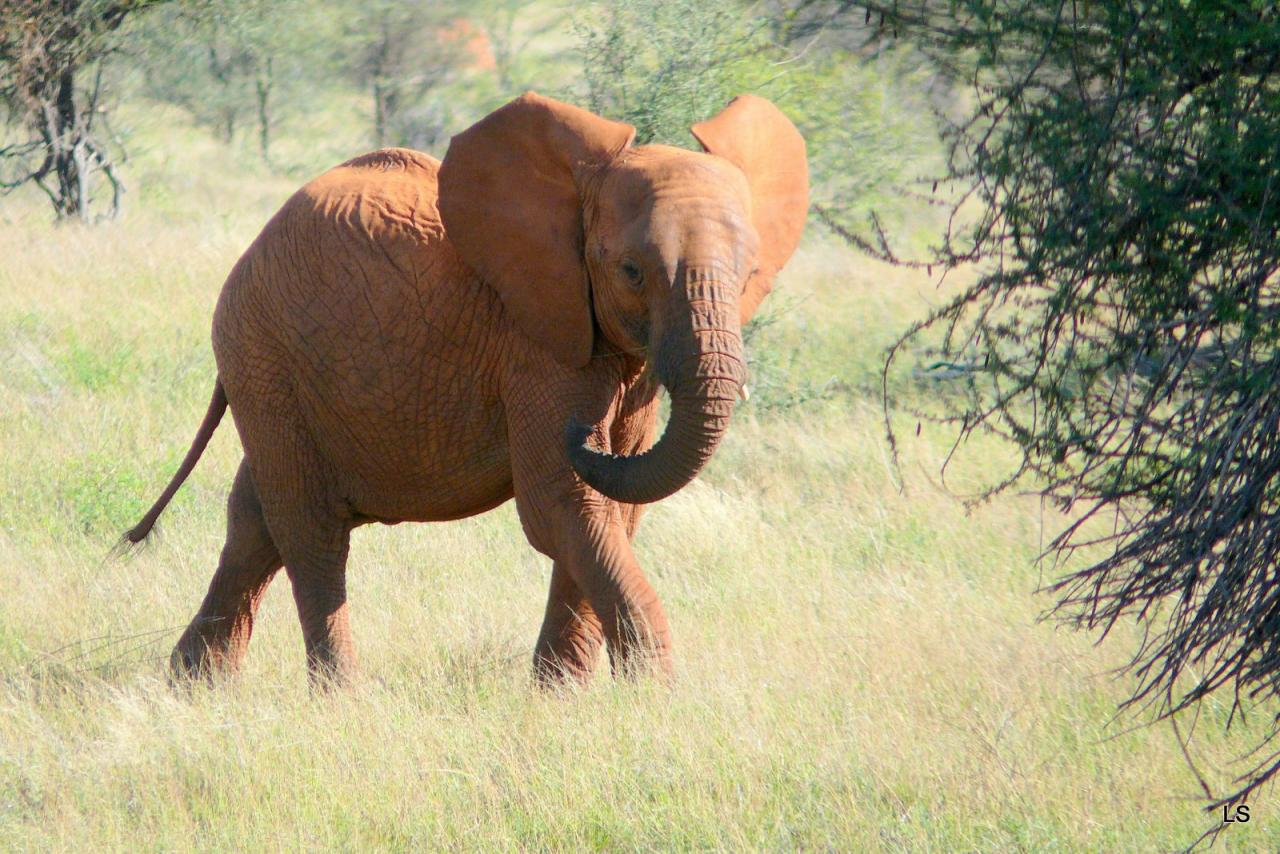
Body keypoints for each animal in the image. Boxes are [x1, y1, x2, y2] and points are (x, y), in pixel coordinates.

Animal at [129, 90, 808, 686]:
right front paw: (650, 698)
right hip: (260, 351)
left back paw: (195, 686)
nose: (584, 434)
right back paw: (340, 698)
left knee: (255, 518)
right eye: (632, 271)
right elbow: (560, 502)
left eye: (751, 272)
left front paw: (559, 698)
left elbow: (611, 511)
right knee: (309, 530)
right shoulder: (537, 342)